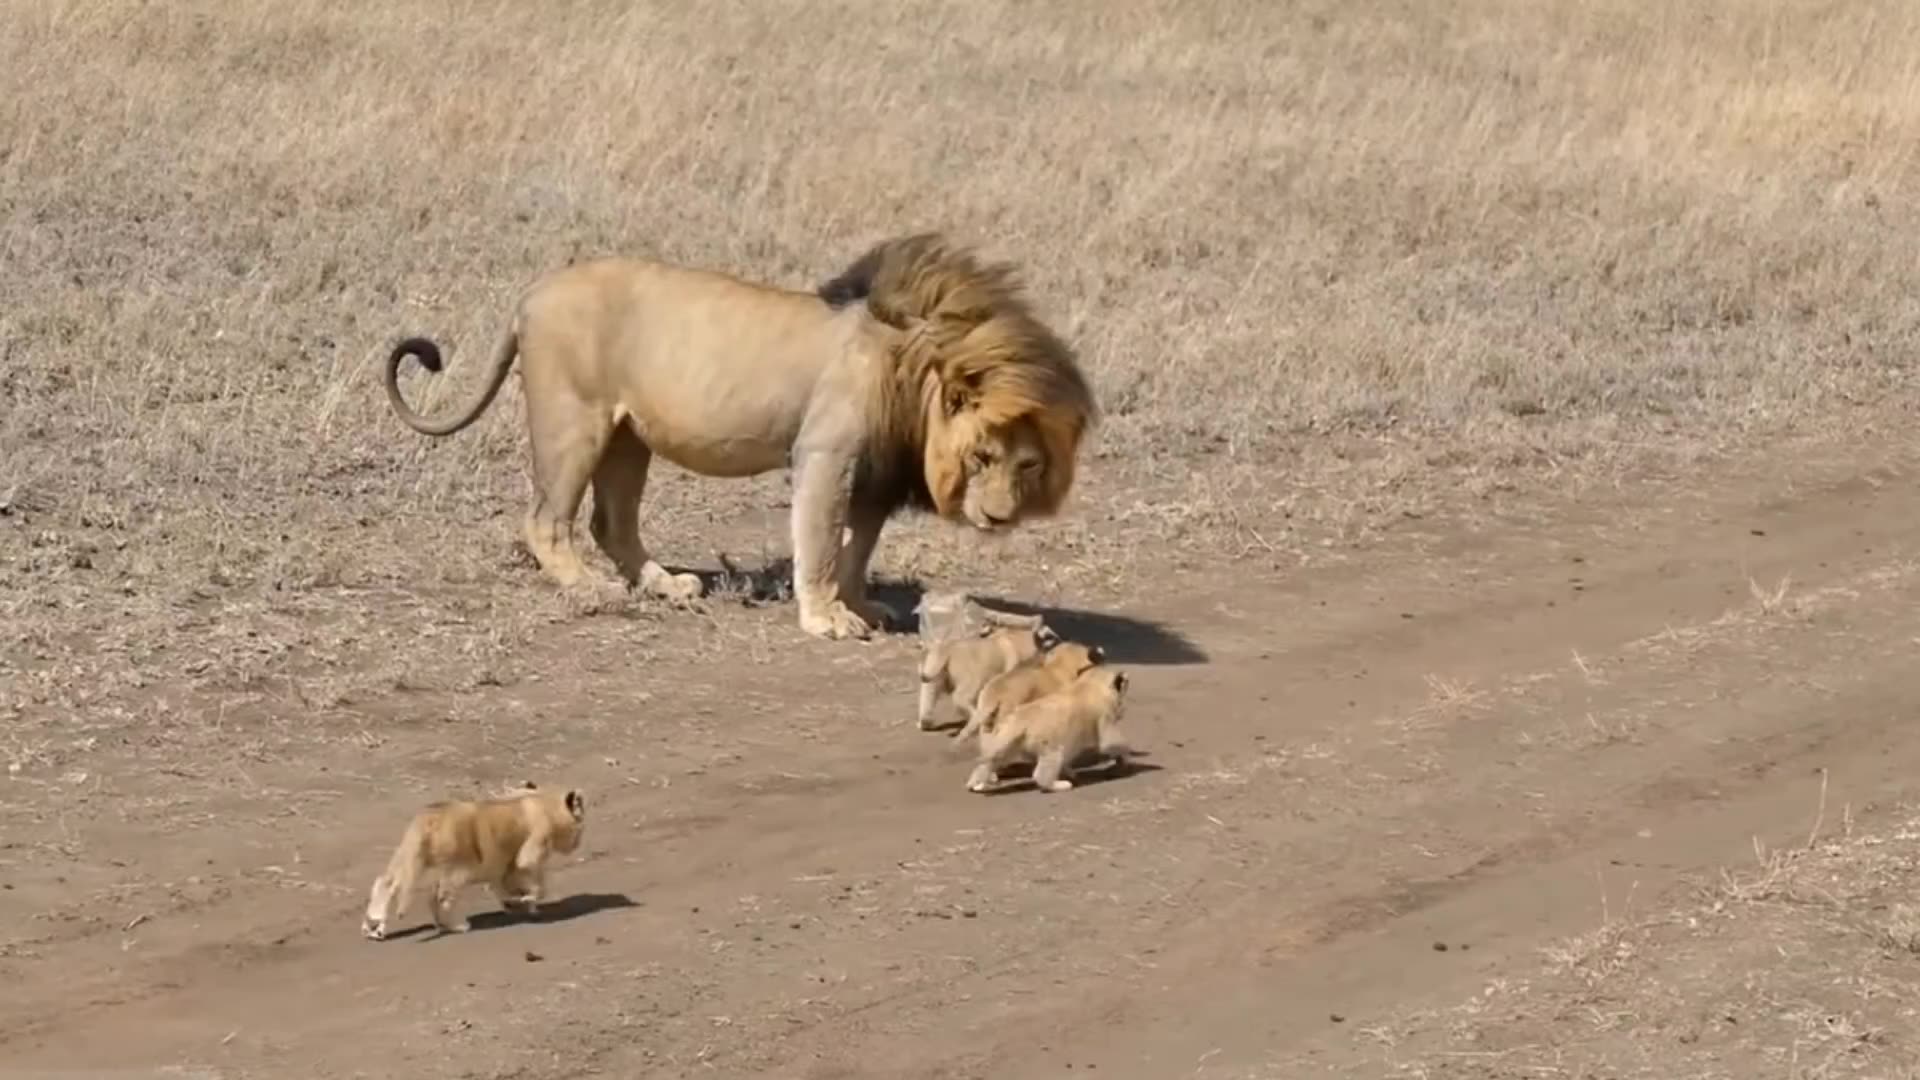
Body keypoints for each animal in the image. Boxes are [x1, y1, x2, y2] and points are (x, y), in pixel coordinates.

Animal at [362, 782, 586, 940]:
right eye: (581, 824)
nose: (578, 843)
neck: (543, 803)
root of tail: (429, 816)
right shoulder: (528, 856)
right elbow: (538, 886)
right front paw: (524, 901)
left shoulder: (501, 866)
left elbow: (506, 886)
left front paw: (517, 904)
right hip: (458, 869)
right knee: (441, 898)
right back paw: (456, 926)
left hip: (410, 857)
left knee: (386, 884)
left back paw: (374, 927)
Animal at [381, 232, 1097, 641]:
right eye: (981, 455)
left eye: (1028, 465)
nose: (998, 517)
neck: (916, 366)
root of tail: (531, 293)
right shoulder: (826, 455)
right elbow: (820, 544)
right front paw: (826, 618)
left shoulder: (874, 477)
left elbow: (857, 550)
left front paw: (863, 606)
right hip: (573, 418)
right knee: (546, 520)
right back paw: (588, 587)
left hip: (629, 435)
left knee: (613, 522)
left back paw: (665, 585)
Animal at [917, 621, 1060, 732]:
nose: (1056, 639)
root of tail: (947, 649)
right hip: (970, 673)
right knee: (961, 696)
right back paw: (975, 718)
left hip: (933, 670)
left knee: (928, 695)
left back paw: (924, 722)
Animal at [967, 666, 1132, 794]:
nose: (1126, 678)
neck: (1089, 684)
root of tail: (1021, 720)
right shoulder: (1105, 715)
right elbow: (1110, 742)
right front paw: (1124, 756)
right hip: (1048, 741)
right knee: (1046, 766)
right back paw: (1057, 784)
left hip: (1011, 739)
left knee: (994, 758)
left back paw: (978, 783)